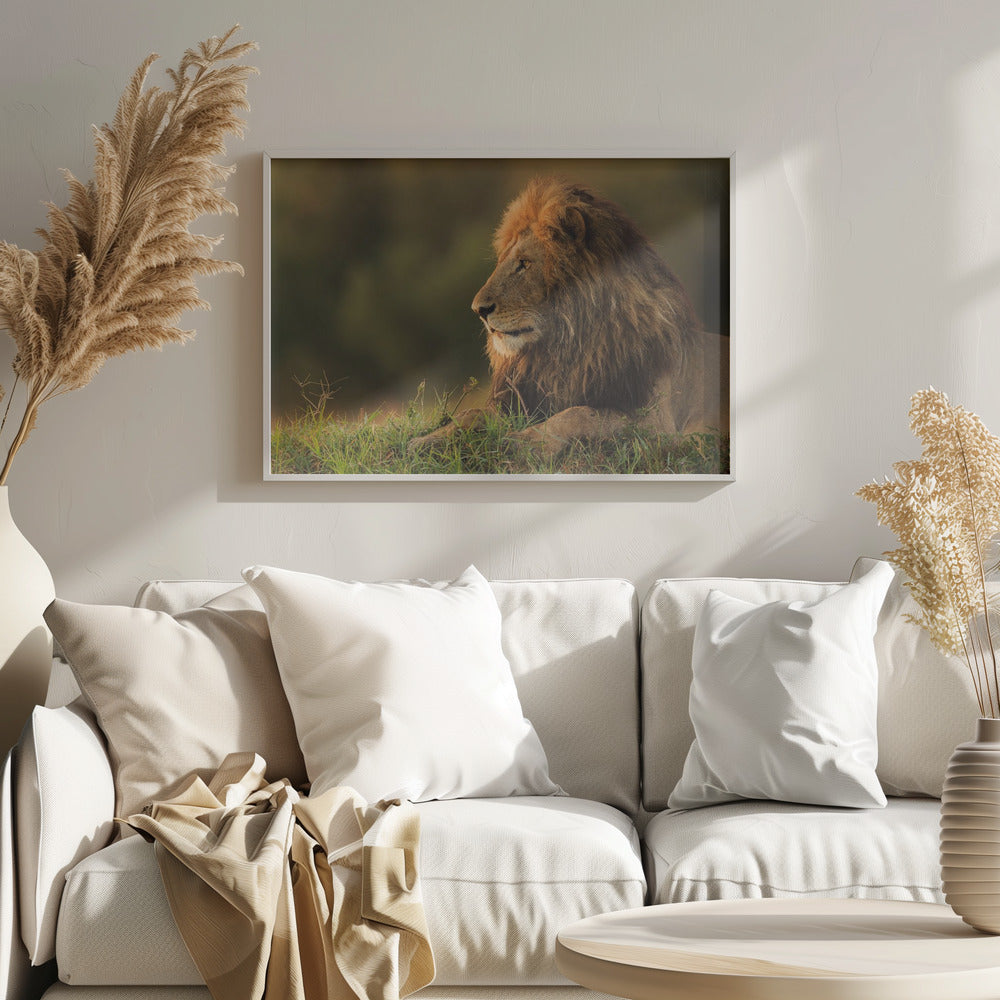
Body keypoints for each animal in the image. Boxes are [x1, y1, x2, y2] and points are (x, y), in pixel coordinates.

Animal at [412, 176, 728, 457]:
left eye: (524, 263)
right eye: (504, 261)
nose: (478, 310)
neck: (568, 348)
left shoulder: (656, 423)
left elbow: (579, 413)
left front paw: (525, 443)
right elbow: (472, 412)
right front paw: (426, 441)